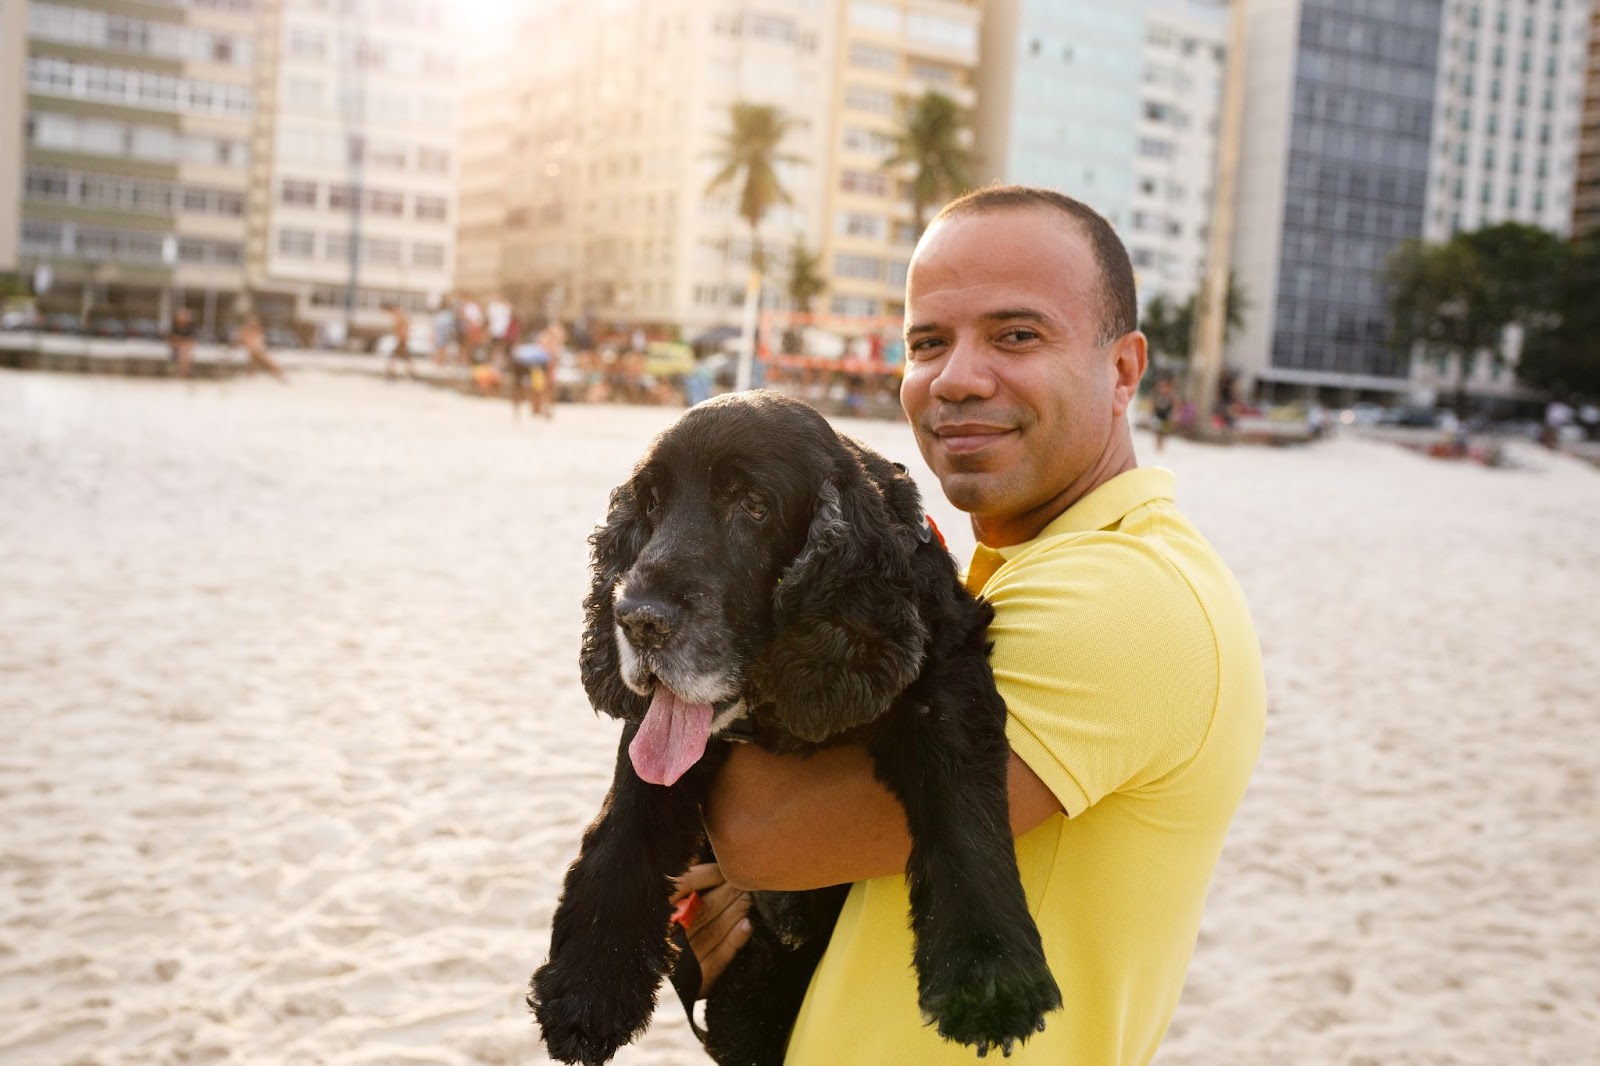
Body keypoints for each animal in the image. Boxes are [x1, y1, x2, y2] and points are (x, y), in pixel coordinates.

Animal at [531, 392, 1062, 1062]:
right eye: (650, 506)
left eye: (753, 507)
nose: (637, 620)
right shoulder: (660, 730)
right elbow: (626, 817)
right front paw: (587, 986)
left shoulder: (944, 666)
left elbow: (962, 803)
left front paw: (990, 976)